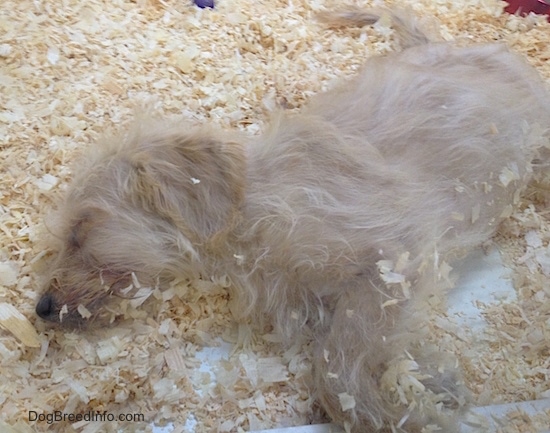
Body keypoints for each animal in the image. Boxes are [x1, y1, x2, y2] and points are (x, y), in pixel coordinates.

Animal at [35, 8, 550, 430]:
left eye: (80, 230)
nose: (41, 308)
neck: (252, 209)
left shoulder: (394, 257)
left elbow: (337, 365)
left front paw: (395, 415)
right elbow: (382, 352)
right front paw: (435, 385)